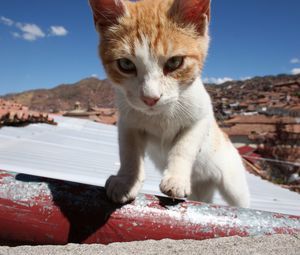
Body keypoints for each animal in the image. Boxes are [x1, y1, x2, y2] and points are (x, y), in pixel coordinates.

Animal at [89, 0, 251, 207]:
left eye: (174, 62)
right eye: (125, 64)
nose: (150, 98)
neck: (160, 115)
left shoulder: (202, 116)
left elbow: (184, 146)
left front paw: (176, 179)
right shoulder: (127, 121)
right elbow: (129, 151)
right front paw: (126, 181)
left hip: (233, 185)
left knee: (240, 200)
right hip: (201, 190)